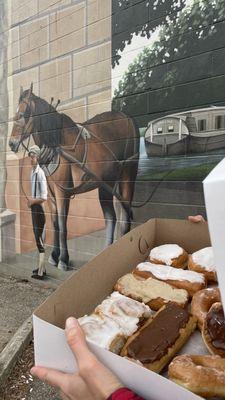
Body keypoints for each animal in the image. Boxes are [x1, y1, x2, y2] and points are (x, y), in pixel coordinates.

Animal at [8, 84, 140, 270]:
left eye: (24, 113)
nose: (11, 143)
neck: (57, 145)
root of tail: (127, 117)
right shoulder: (51, 195)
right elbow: (55, 223)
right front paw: (54, 256)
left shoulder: (62, 193)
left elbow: (63, 224)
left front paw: (63, 259)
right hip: (106, 185)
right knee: (111, 217)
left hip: (127, 175)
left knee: (125, 214)